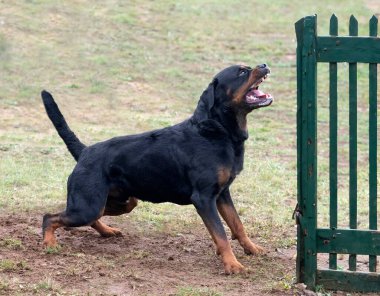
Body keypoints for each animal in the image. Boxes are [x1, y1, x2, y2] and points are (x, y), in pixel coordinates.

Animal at [40, 63, 274, 274]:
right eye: (242, 72)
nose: (263, 65)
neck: (217, 131)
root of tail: (85, 151)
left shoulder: (223, 194)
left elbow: (237, 225)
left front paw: (252, 249)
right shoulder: (204, 198)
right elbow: (221, 234)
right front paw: (233, 265)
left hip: (120, 202)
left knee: (92, 217)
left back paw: (107, 231)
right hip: (88, 205)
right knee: (50, 217)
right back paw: (49, 244)